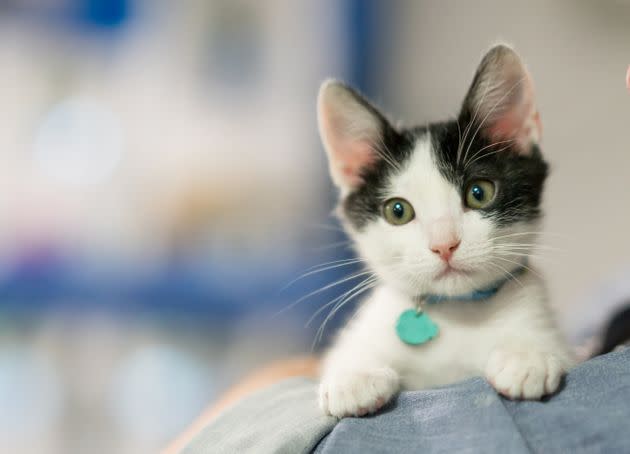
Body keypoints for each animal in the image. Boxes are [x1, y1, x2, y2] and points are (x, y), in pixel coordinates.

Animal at [318, 44, 576, 416]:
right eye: (398, 211)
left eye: (479, 193)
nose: (444, 245)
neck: (457, 314)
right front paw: (355, 376)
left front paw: (528, 355)